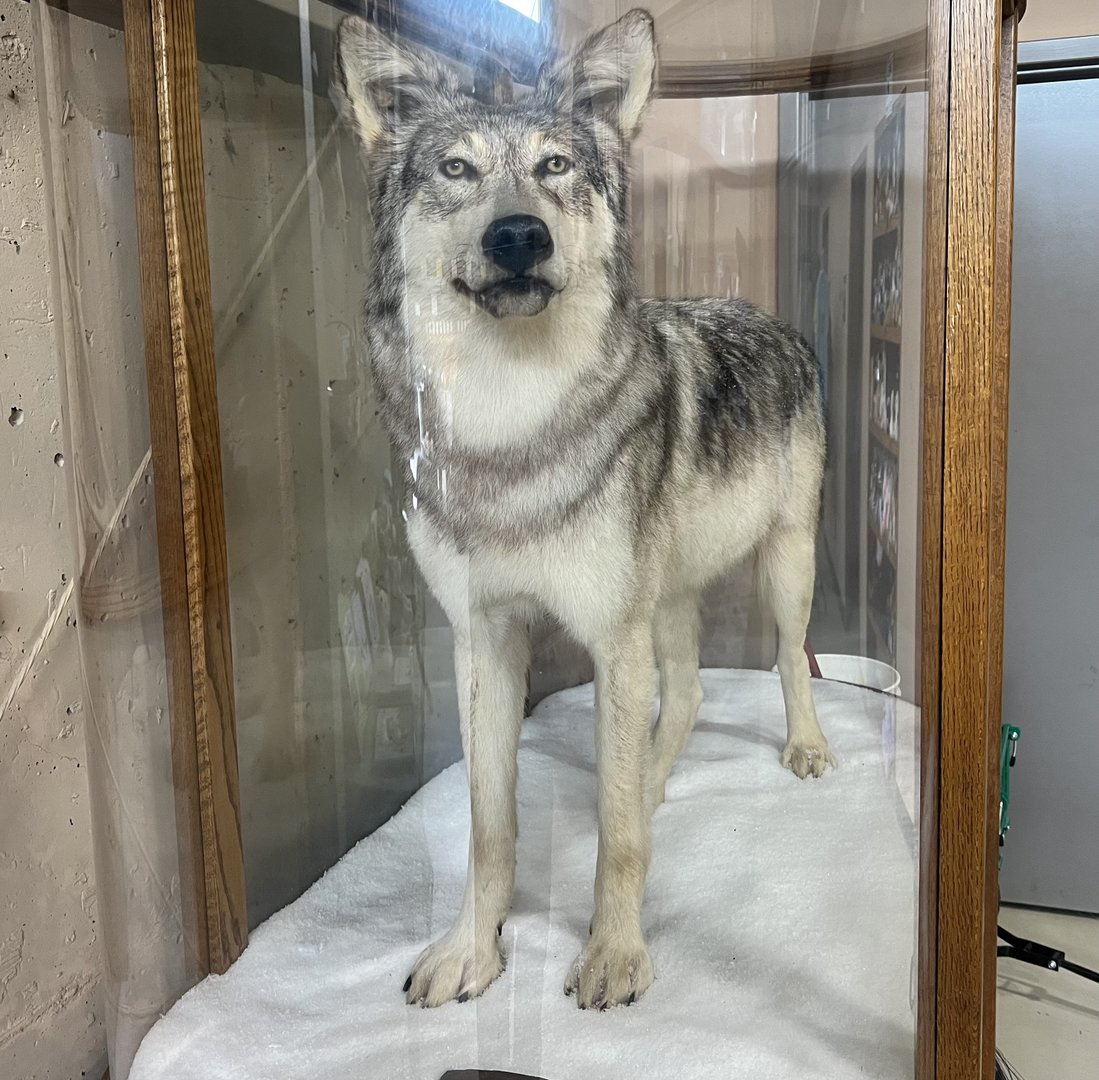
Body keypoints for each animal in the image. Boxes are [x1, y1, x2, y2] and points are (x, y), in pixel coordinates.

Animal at [335, 8, 835, 1011]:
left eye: (555, 165)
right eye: (457, 169)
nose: (518, 236)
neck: (507, 426)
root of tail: (770, 315)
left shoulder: (611, 636)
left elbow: (616, 836)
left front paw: (612, 954)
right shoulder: (486, 640)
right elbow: (489, 825)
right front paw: (472, 951)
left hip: (781, 565)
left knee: (787, 659)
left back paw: (800, 748)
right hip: (666, 600)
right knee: (684, 696)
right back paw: (653, 777)